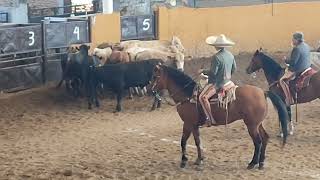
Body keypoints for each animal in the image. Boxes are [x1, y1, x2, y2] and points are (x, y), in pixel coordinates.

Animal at [149, 65, 288, 170]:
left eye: (155, 76)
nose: (151, 90)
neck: (188, 95)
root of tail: (263, 92)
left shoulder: (187, 124)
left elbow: (183, 141)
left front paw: (183, 161)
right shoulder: (194, 126)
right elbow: (198, 142)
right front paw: (199, 160)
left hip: (252, 126)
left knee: (258, 142)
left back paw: (252, 163)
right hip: (257, 124)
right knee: (265, 138)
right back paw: (261, 163)